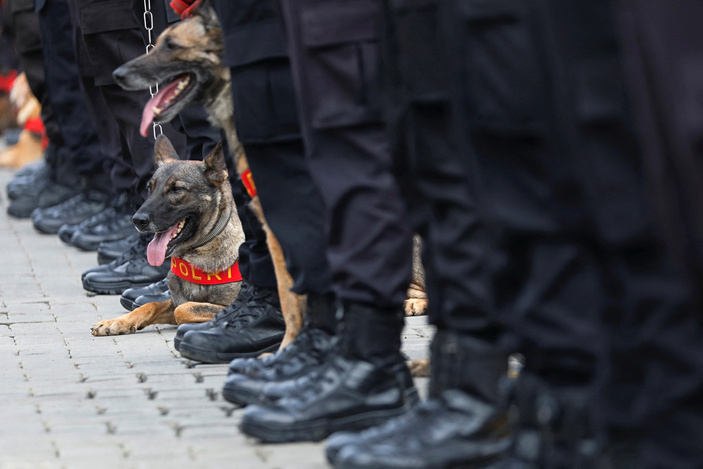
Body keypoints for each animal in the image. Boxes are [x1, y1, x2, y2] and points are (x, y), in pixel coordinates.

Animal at [89, 135, 246, 336]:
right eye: (150, 188)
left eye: (177, 189)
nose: (137, 220)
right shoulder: (173, 300)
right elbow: (150, 305)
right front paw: (117, 321)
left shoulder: (230, 304)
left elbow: (184, 309)